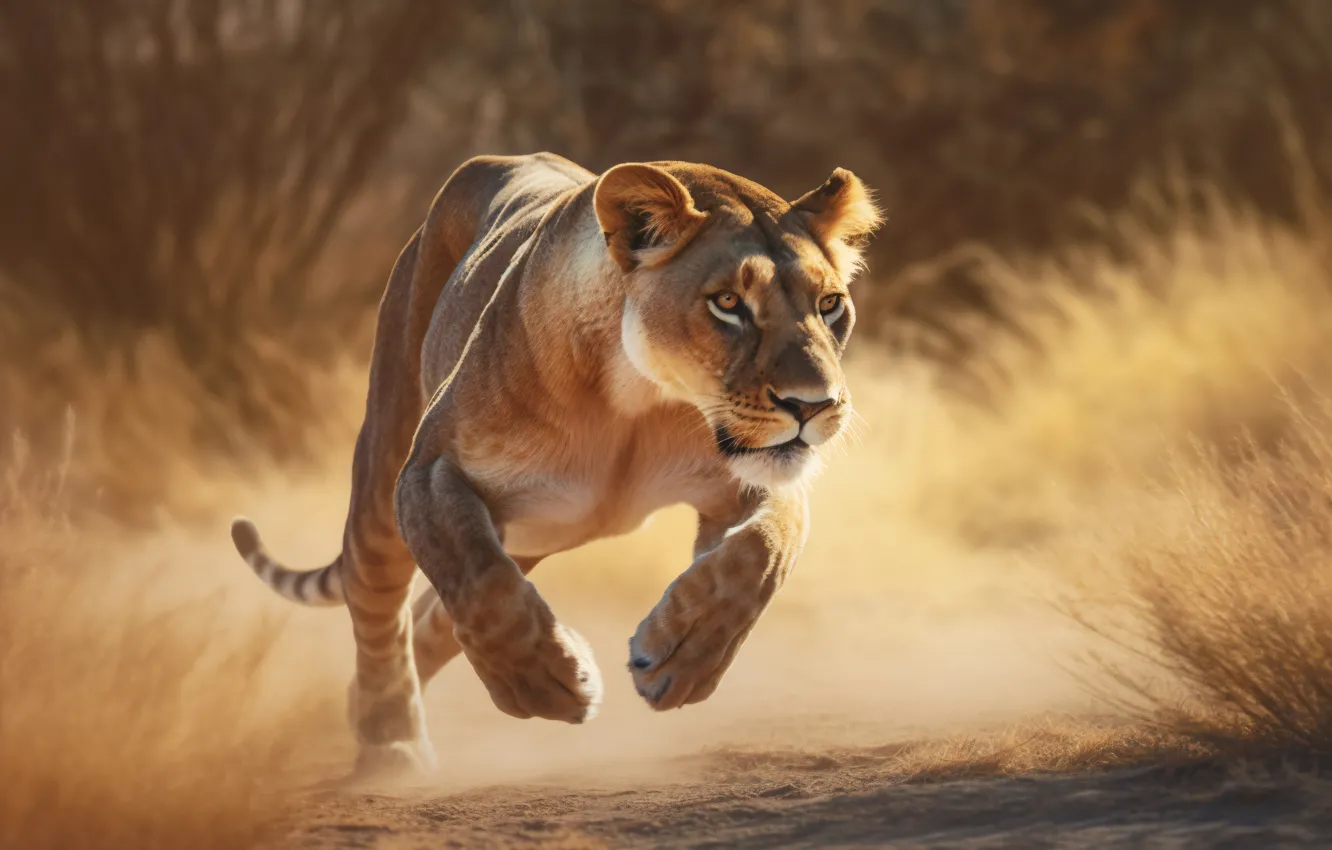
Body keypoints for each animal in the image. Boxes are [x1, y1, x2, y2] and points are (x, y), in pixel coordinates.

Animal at [230, 152, 882, 775]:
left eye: (830, 305)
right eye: (728, 303)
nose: (813, 405)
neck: (636, 404)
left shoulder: (749, 484)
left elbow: (761, 554)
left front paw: (680, 657)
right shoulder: (431, 470)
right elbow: (482, 587)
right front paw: (548, 684)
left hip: (532, 533)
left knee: (436, 617)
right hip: (387, 462)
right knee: (381, 602)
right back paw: (390, 743)